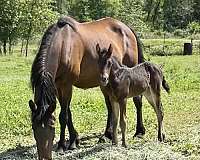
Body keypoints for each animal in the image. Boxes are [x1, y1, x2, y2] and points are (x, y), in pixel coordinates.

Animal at [28, 16, 144, 160]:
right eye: (34, 128)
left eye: (51, 127)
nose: (44, 157)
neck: (62, 45)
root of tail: (127, 29)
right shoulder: (58, 86)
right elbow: (68, 113)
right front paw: (74, 139)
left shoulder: (67, 84)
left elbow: (63, 115)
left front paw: (62, 145)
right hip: (105, 84)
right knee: (110, 107)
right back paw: (107, 135)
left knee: (137, 100)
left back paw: (139, 132)